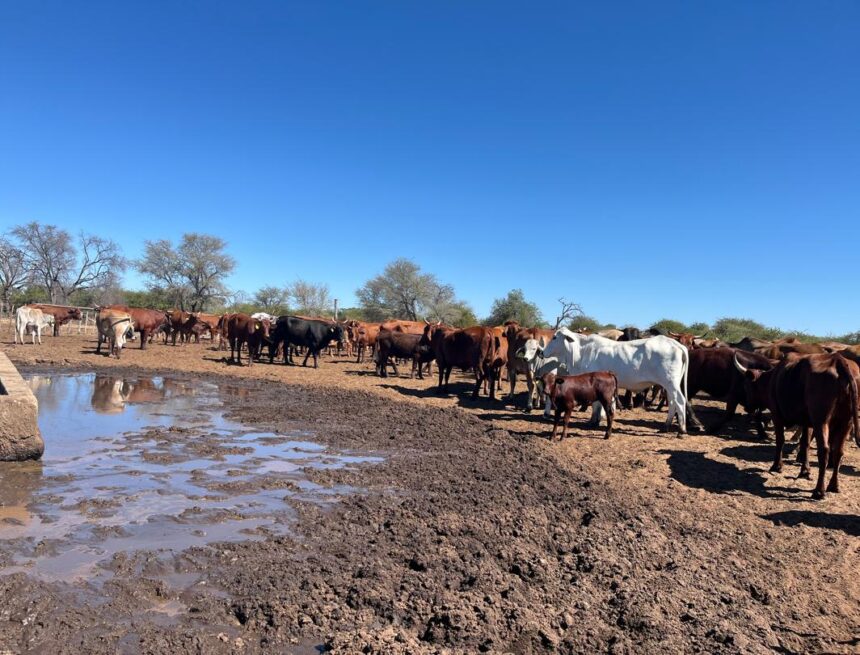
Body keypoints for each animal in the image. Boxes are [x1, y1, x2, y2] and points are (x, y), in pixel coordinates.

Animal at [522, 328, 695, 434]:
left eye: (555, 337)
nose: (542, 352)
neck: (581, 352)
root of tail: (676, 344)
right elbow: (598, 406)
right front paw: (596, 419)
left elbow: (596, 405)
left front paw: (594, 421)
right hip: (669, 385)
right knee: (672, 402)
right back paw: (666, 426)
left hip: (671, 383)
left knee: (680, 401)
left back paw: (681, 430)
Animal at [734, 352, 860, 499]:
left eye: (746, 386)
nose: (746, 407)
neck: (773, 378)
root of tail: (838, 360)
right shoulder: (807, 422)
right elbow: (805, 443)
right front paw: (804, 471)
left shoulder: (777, 415)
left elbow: (780, 440)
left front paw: (777, 466)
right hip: (846, 422)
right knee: (839, 452)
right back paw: (834, 486)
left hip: (821, 421)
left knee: (824, 451)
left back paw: (819, 491)